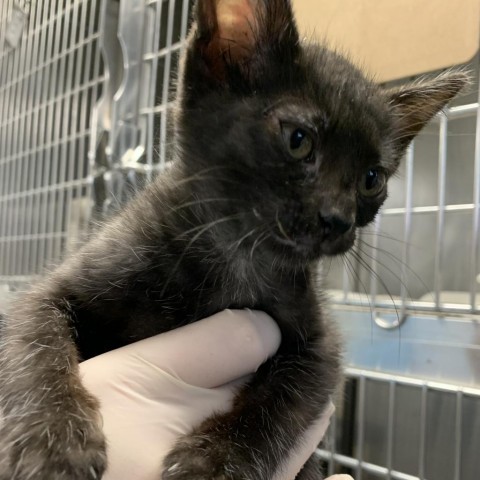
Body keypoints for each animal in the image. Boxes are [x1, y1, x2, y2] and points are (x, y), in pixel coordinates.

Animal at [0, 0, 466, 480]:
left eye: (372, 179)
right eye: (299, 140)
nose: (338, 219)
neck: (236, 255)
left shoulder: (319, 346)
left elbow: (282, 402)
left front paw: (213, 463)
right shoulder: (54, 288)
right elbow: (34, 340)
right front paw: (52, 441)